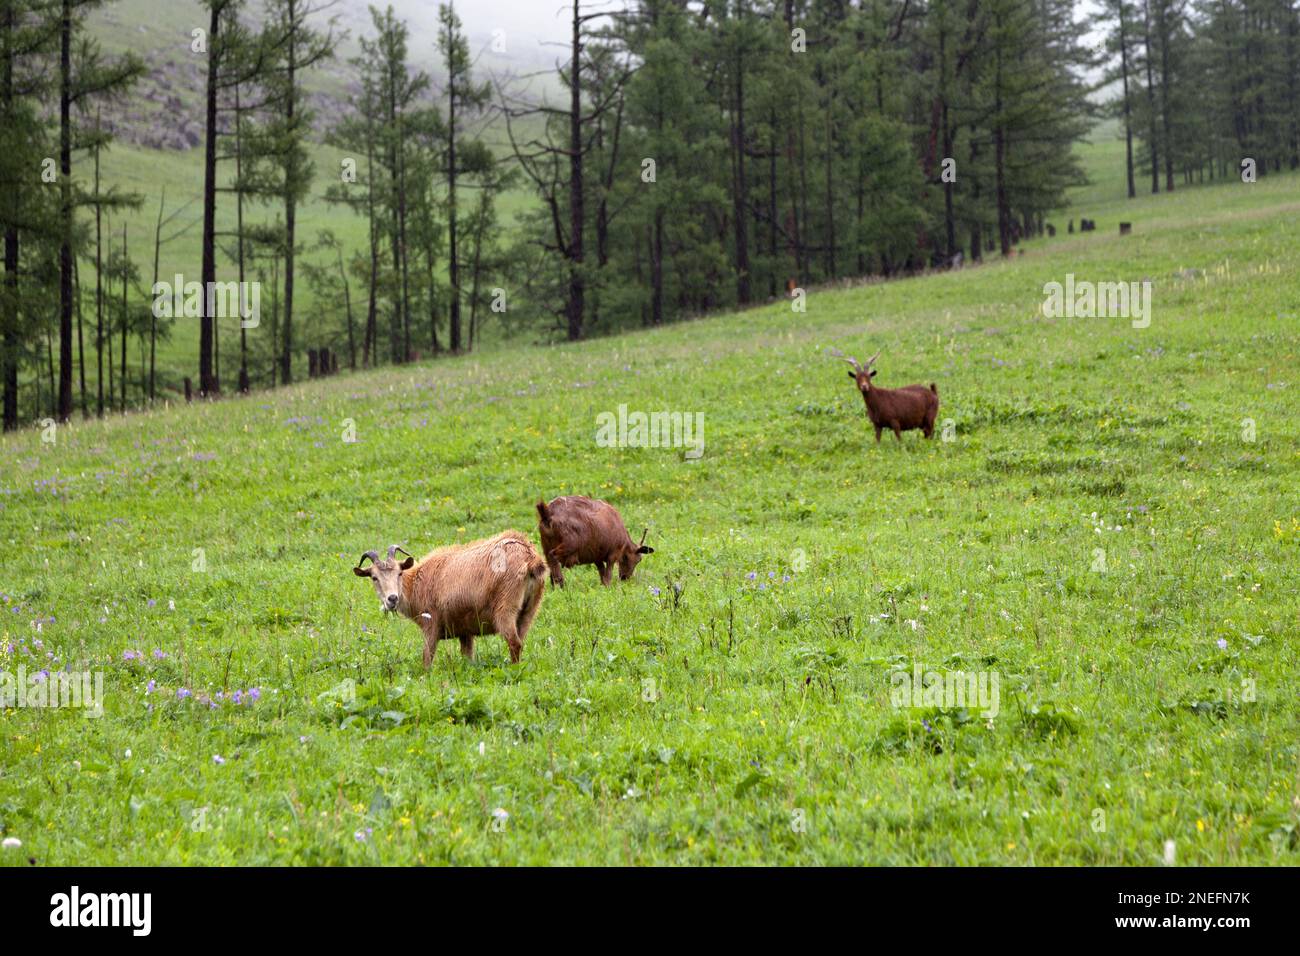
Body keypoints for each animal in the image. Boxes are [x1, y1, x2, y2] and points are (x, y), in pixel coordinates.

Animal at [353, 536, 546, 666]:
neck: (416, 584)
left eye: (399, 572)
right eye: (374, 577)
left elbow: (427, 658)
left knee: (514, 642)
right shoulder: (465, 631)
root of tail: (530, 558)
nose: (392, 598)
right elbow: (467, 655)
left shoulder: (431, 625)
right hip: (529, 611)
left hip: (505, 608)